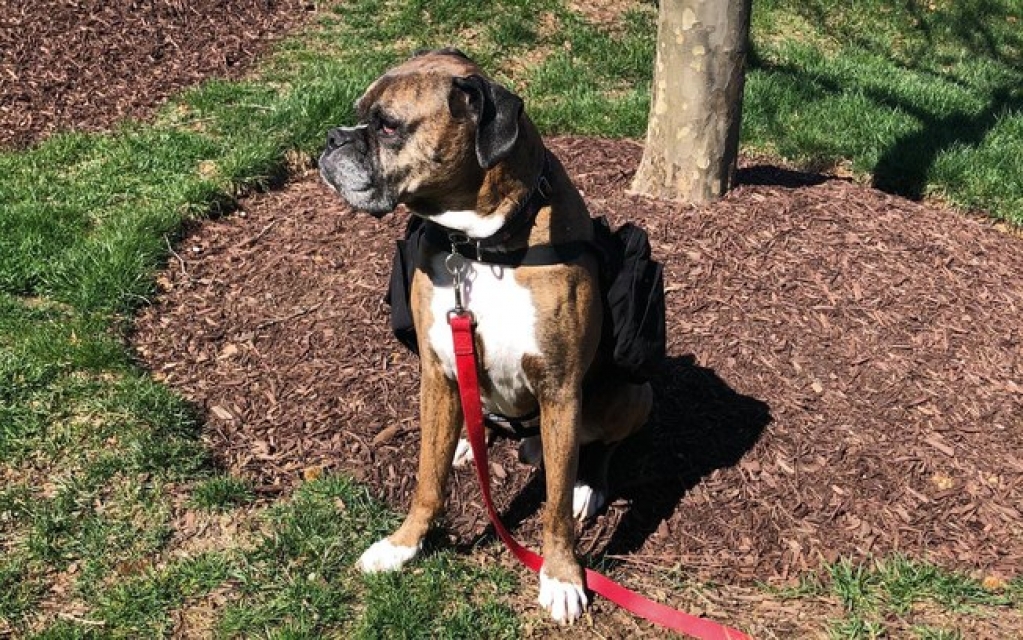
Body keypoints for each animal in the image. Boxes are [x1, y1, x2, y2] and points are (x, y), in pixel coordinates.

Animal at [319, 48, 650, 621]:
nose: (332, 138)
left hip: (631, 393)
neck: (482, 246)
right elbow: (427, 480)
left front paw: (562, 575)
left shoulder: (560, 388)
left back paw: (589, 484)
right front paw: (404, 544)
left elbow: (554, 505)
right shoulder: (436, 371)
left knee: (601, 447)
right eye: (360, 115)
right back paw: (467, 444)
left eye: (387, 126)